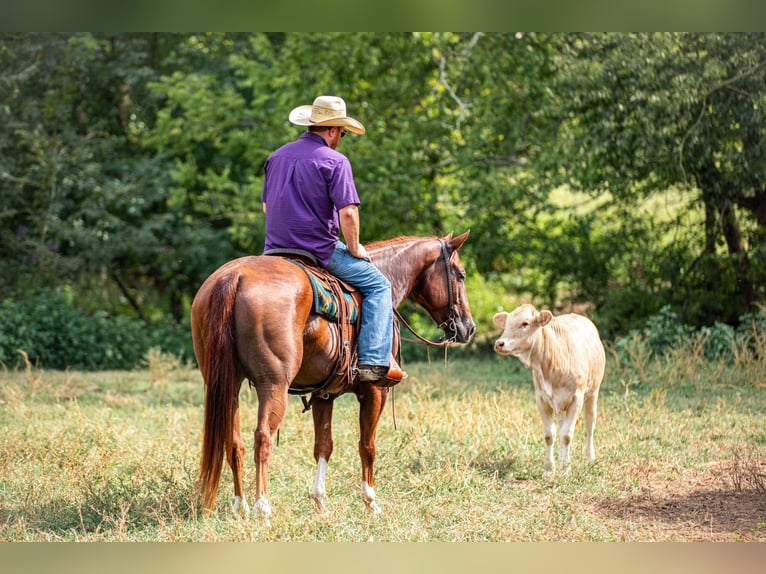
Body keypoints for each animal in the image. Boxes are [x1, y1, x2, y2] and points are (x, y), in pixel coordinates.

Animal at [191, 231, 475, 521]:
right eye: (461, 274)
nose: (469, 327)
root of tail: (234, 276)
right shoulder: (375, 391)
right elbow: (367, 446)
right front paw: (371, 503)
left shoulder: (324, 394)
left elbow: (323, 446)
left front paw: (319, 502)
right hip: (273, 385)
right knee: (263, 438)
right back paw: (263, 508)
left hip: (228, 385)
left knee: (234, 442)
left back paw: (242, 507)